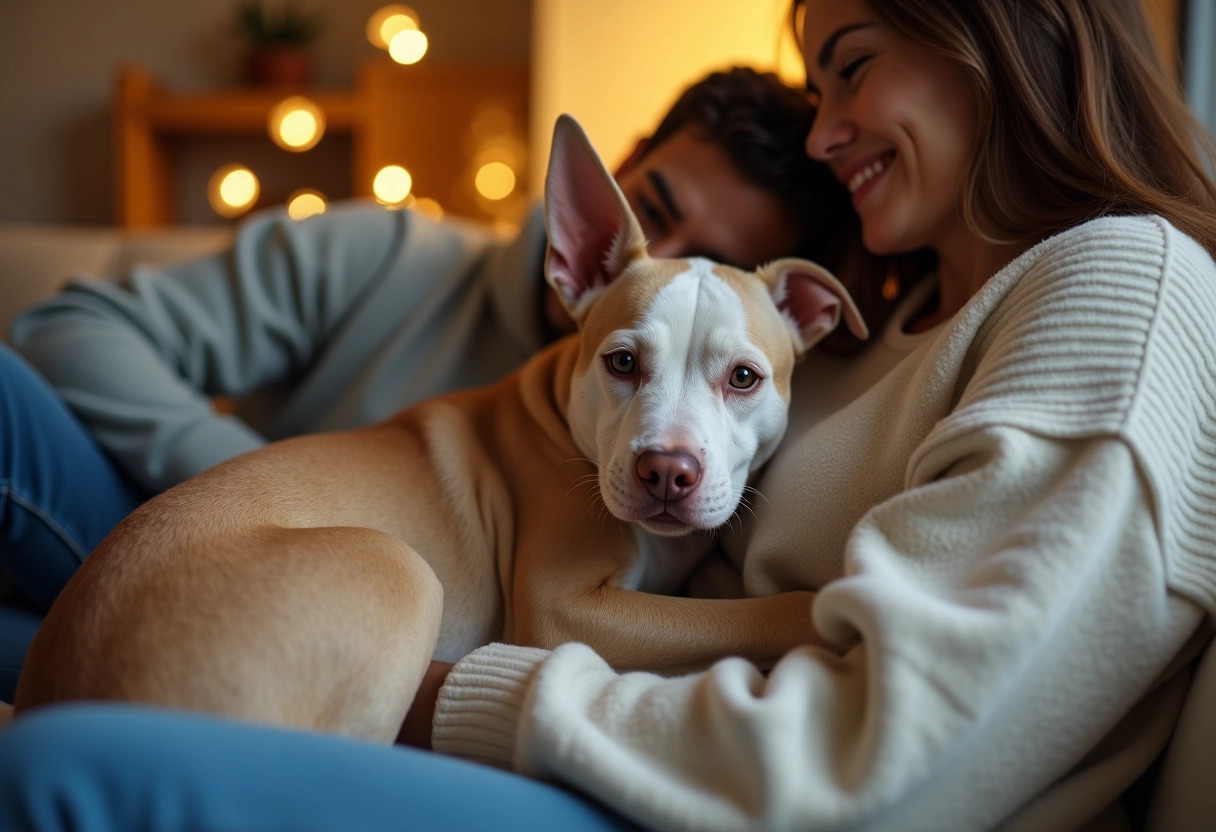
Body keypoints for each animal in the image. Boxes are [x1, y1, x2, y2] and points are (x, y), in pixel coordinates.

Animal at [9, 115, 865, 739]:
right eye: (622, 363)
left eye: (744, 379)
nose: (667, 472)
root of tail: (56, 697)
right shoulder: (562, 610)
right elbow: (739, 613)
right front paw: (819, 608)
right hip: (397, 568)